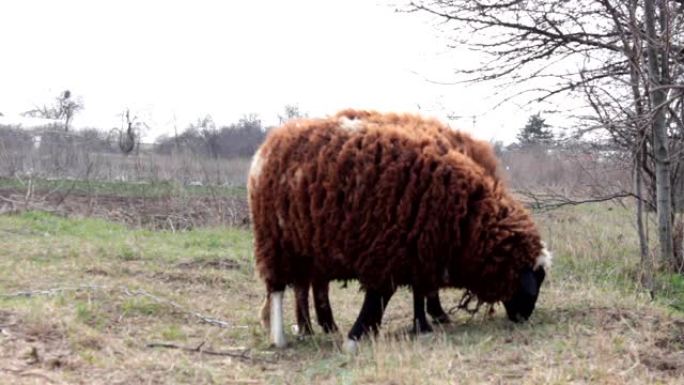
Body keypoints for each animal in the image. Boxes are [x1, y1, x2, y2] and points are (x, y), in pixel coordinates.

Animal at [250, 110, 552, 348]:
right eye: (532, 281)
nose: (523, 318)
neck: (467, 220)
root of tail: (269, 145)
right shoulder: (391, 250)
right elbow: (382, 295)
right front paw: (359, 334)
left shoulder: (418, 249)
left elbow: (415, 291)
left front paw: (421, 325)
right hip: (276, 241)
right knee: (279, 290)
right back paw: (284, 336)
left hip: (308, 247)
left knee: (305, 286)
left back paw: (315, 326)